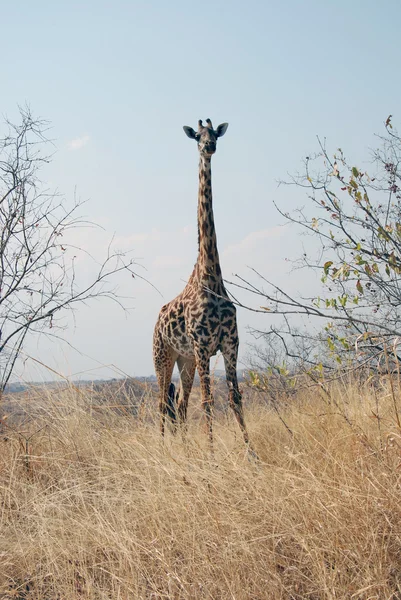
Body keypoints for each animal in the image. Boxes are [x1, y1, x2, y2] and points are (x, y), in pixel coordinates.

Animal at [152, 119, 252, 452]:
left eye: (215, 133)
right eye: (197, 135)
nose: (209, 147)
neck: (211, 278)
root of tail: (156, 322)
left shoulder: (230, 344)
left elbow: (235, 398)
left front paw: (251, 454)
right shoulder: (203, 346)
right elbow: (208, 402)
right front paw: (210, 455)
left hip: (186, 360)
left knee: (181, 404)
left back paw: (184, 450)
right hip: (163, 355)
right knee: (162, 402)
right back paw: (164, 450)